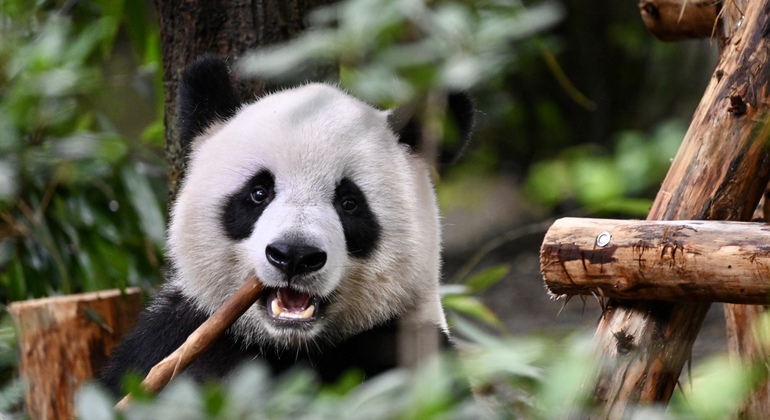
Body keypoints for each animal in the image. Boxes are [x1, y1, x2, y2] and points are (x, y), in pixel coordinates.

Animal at [100, 55, 474, 396]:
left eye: (349, 203)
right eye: (259, 193)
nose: (295, 255)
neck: (286, 345)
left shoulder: (406, 347)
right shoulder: (168, 336)